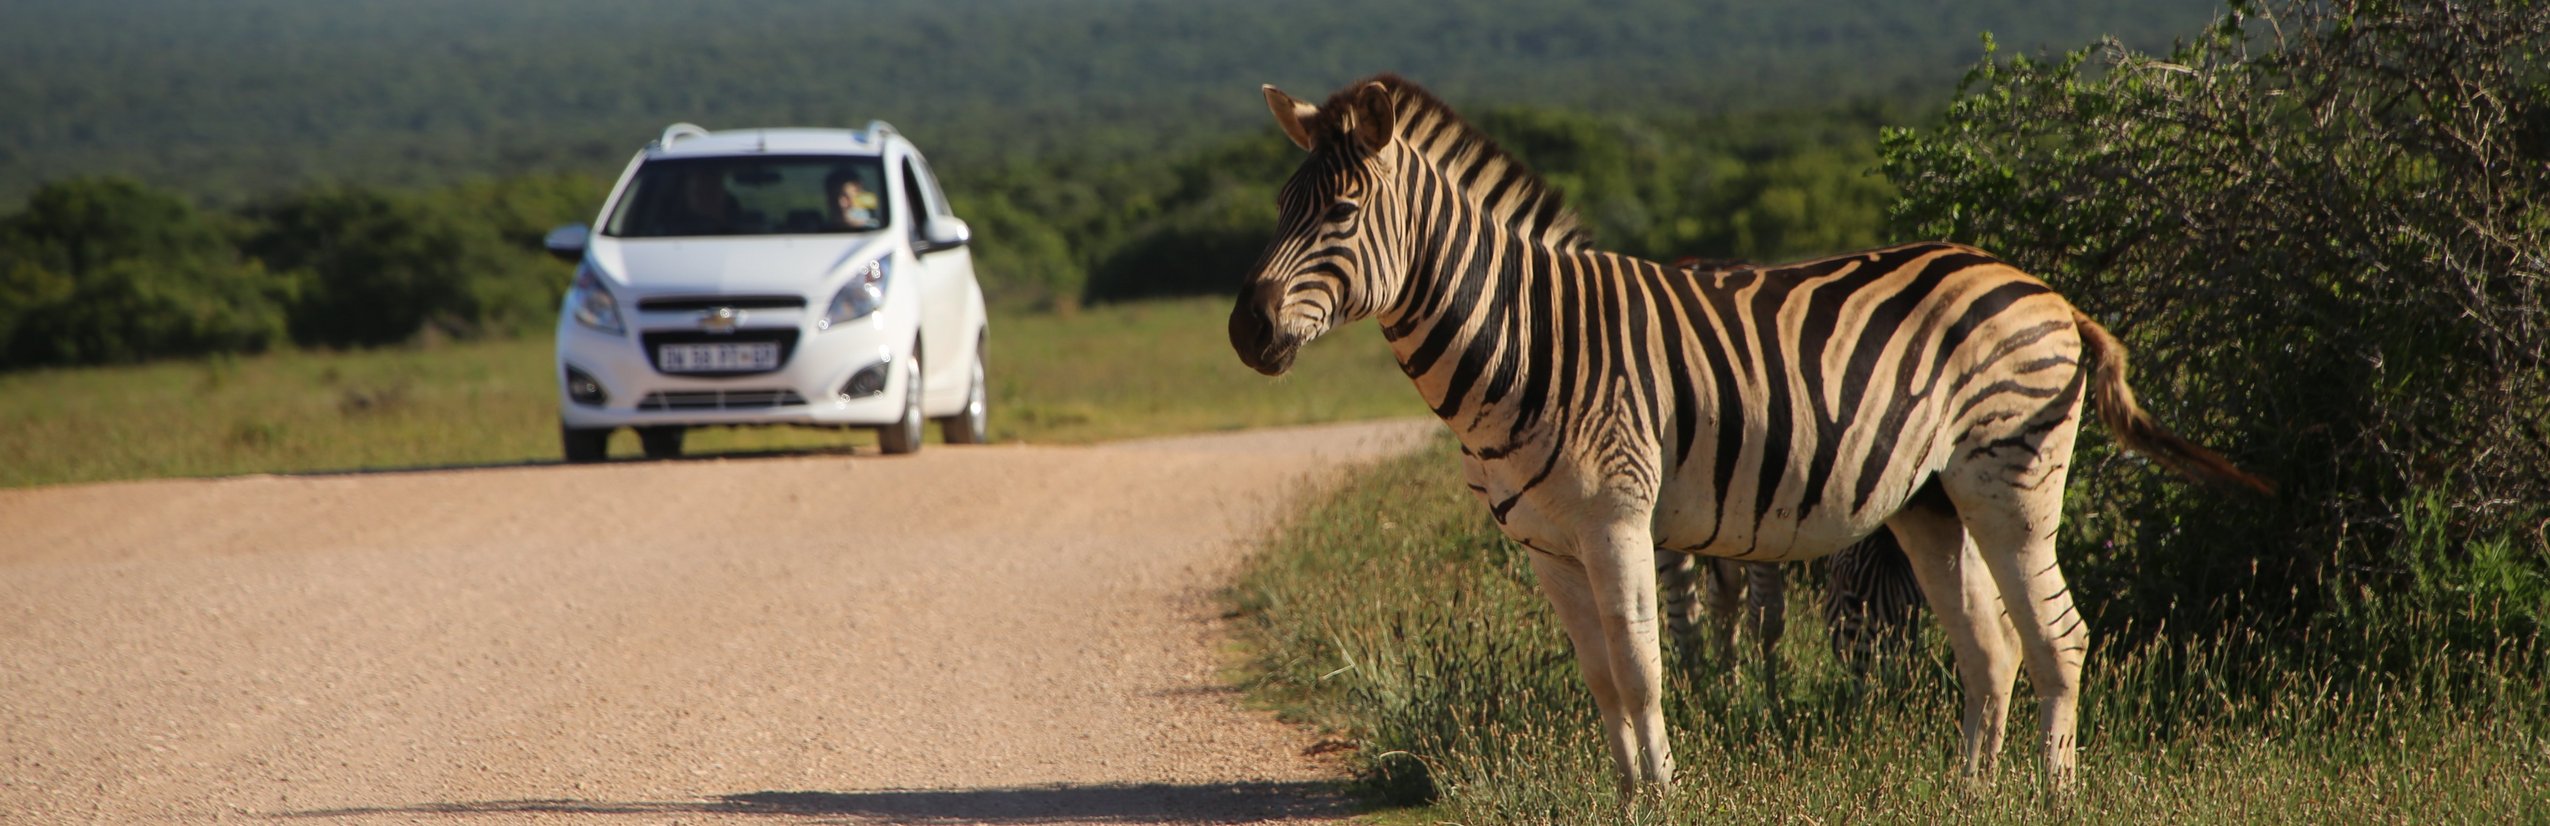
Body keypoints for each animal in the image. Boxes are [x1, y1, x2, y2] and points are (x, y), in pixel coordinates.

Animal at [1224, 75, 2264, 795]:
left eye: (1342, 211)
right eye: (1277, 209)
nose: (1244, 331)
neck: (1527, 337)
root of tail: (2047, 291)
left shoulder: (1617, 518)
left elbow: (1644, 672)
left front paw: (1662, 799)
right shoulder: (1546, 545)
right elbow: (1603, 680)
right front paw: (1625, 798)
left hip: (2013, 481)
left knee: (2061, 638)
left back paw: (2053, 798)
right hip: (1931, 502)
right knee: (1991, 647)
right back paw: (1970, 798)